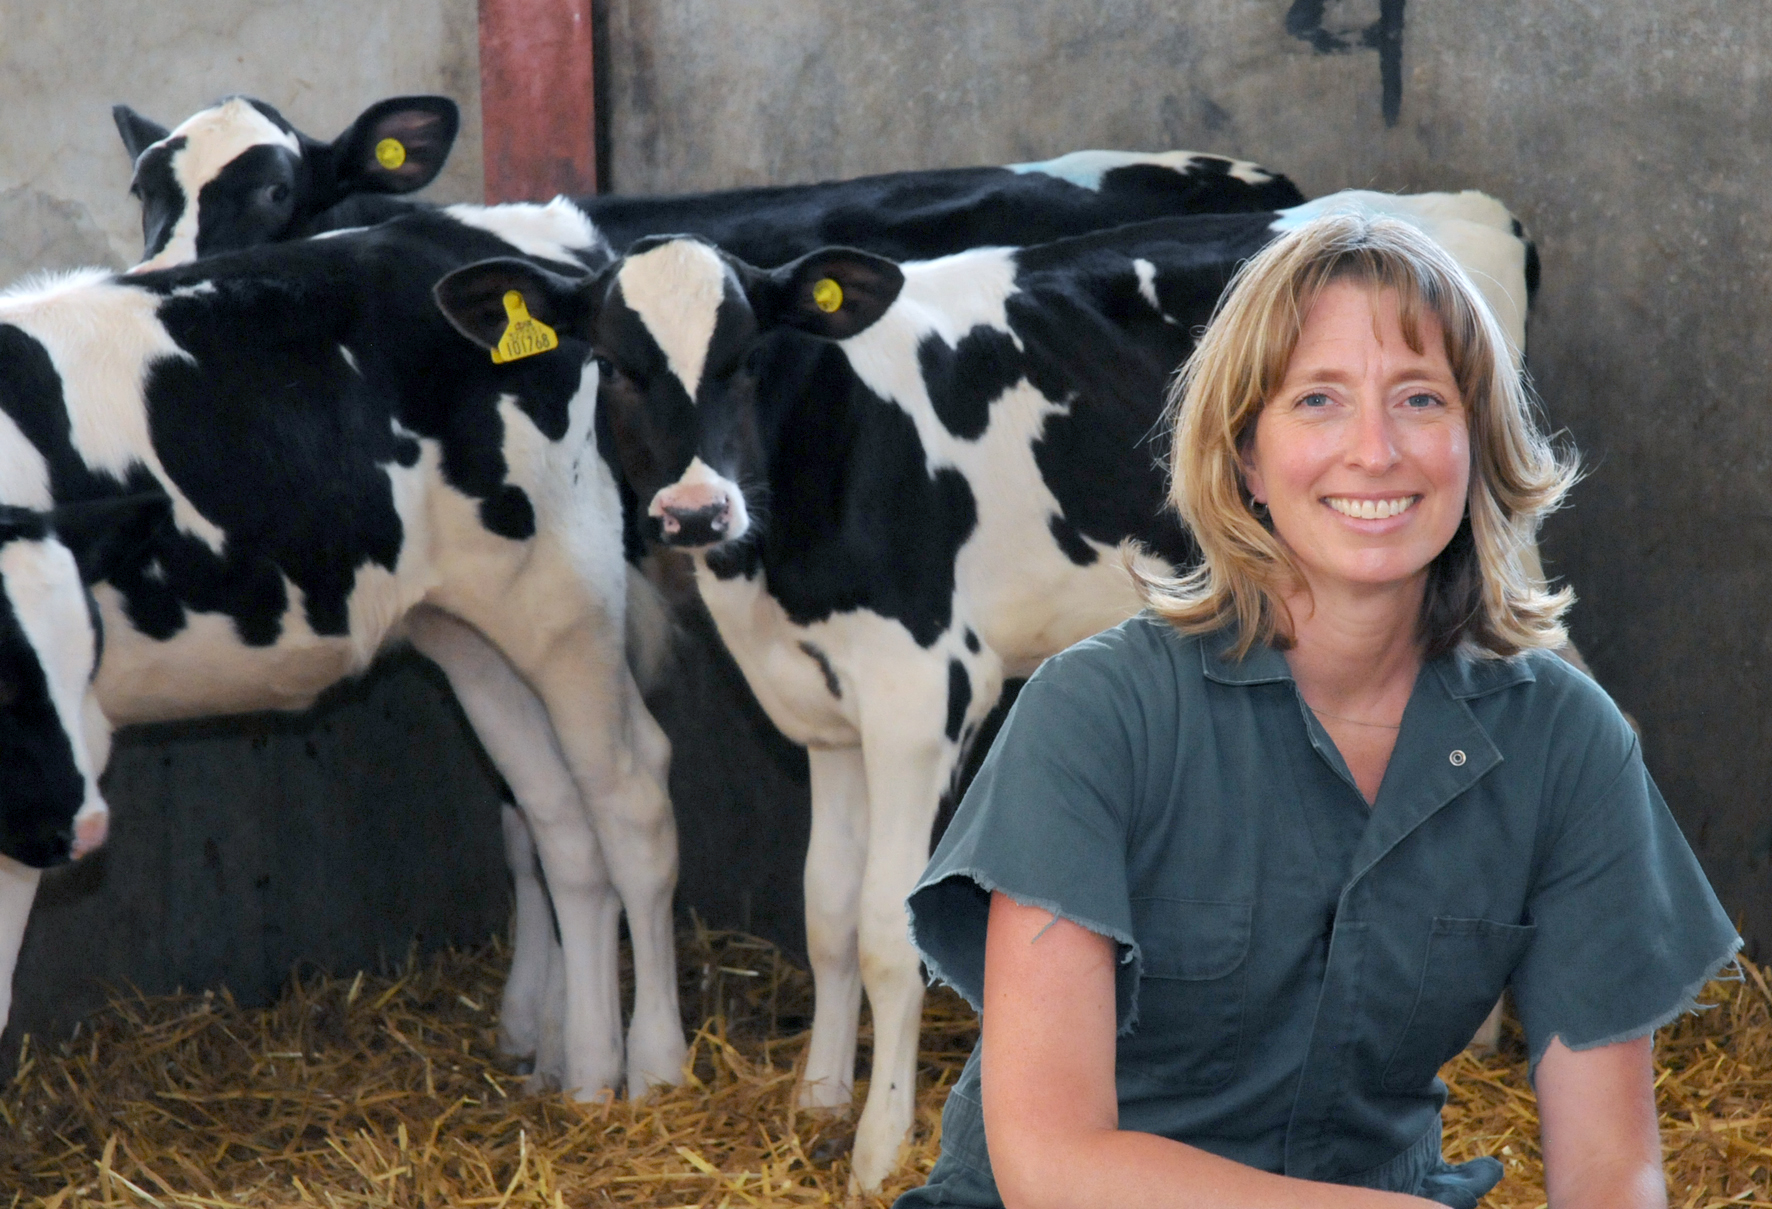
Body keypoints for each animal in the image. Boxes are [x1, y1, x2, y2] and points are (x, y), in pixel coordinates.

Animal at [0, 202, 683, 1099]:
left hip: (566, 604)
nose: (74, 829)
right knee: (557, 819)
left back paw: (648, 1072)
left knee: (629, 800)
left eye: (67, 660)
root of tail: (526, 229)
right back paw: (573, 1067)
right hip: (474, 634)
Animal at [439, 190, 1538, 1184]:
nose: (696, 512)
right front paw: (818, 1098)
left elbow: (887, 930)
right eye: (616, 368)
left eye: (746, 359)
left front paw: (878, 1147)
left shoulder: (921, 690)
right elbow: (826, 912)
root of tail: (1440, 209)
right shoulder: (824, 706)